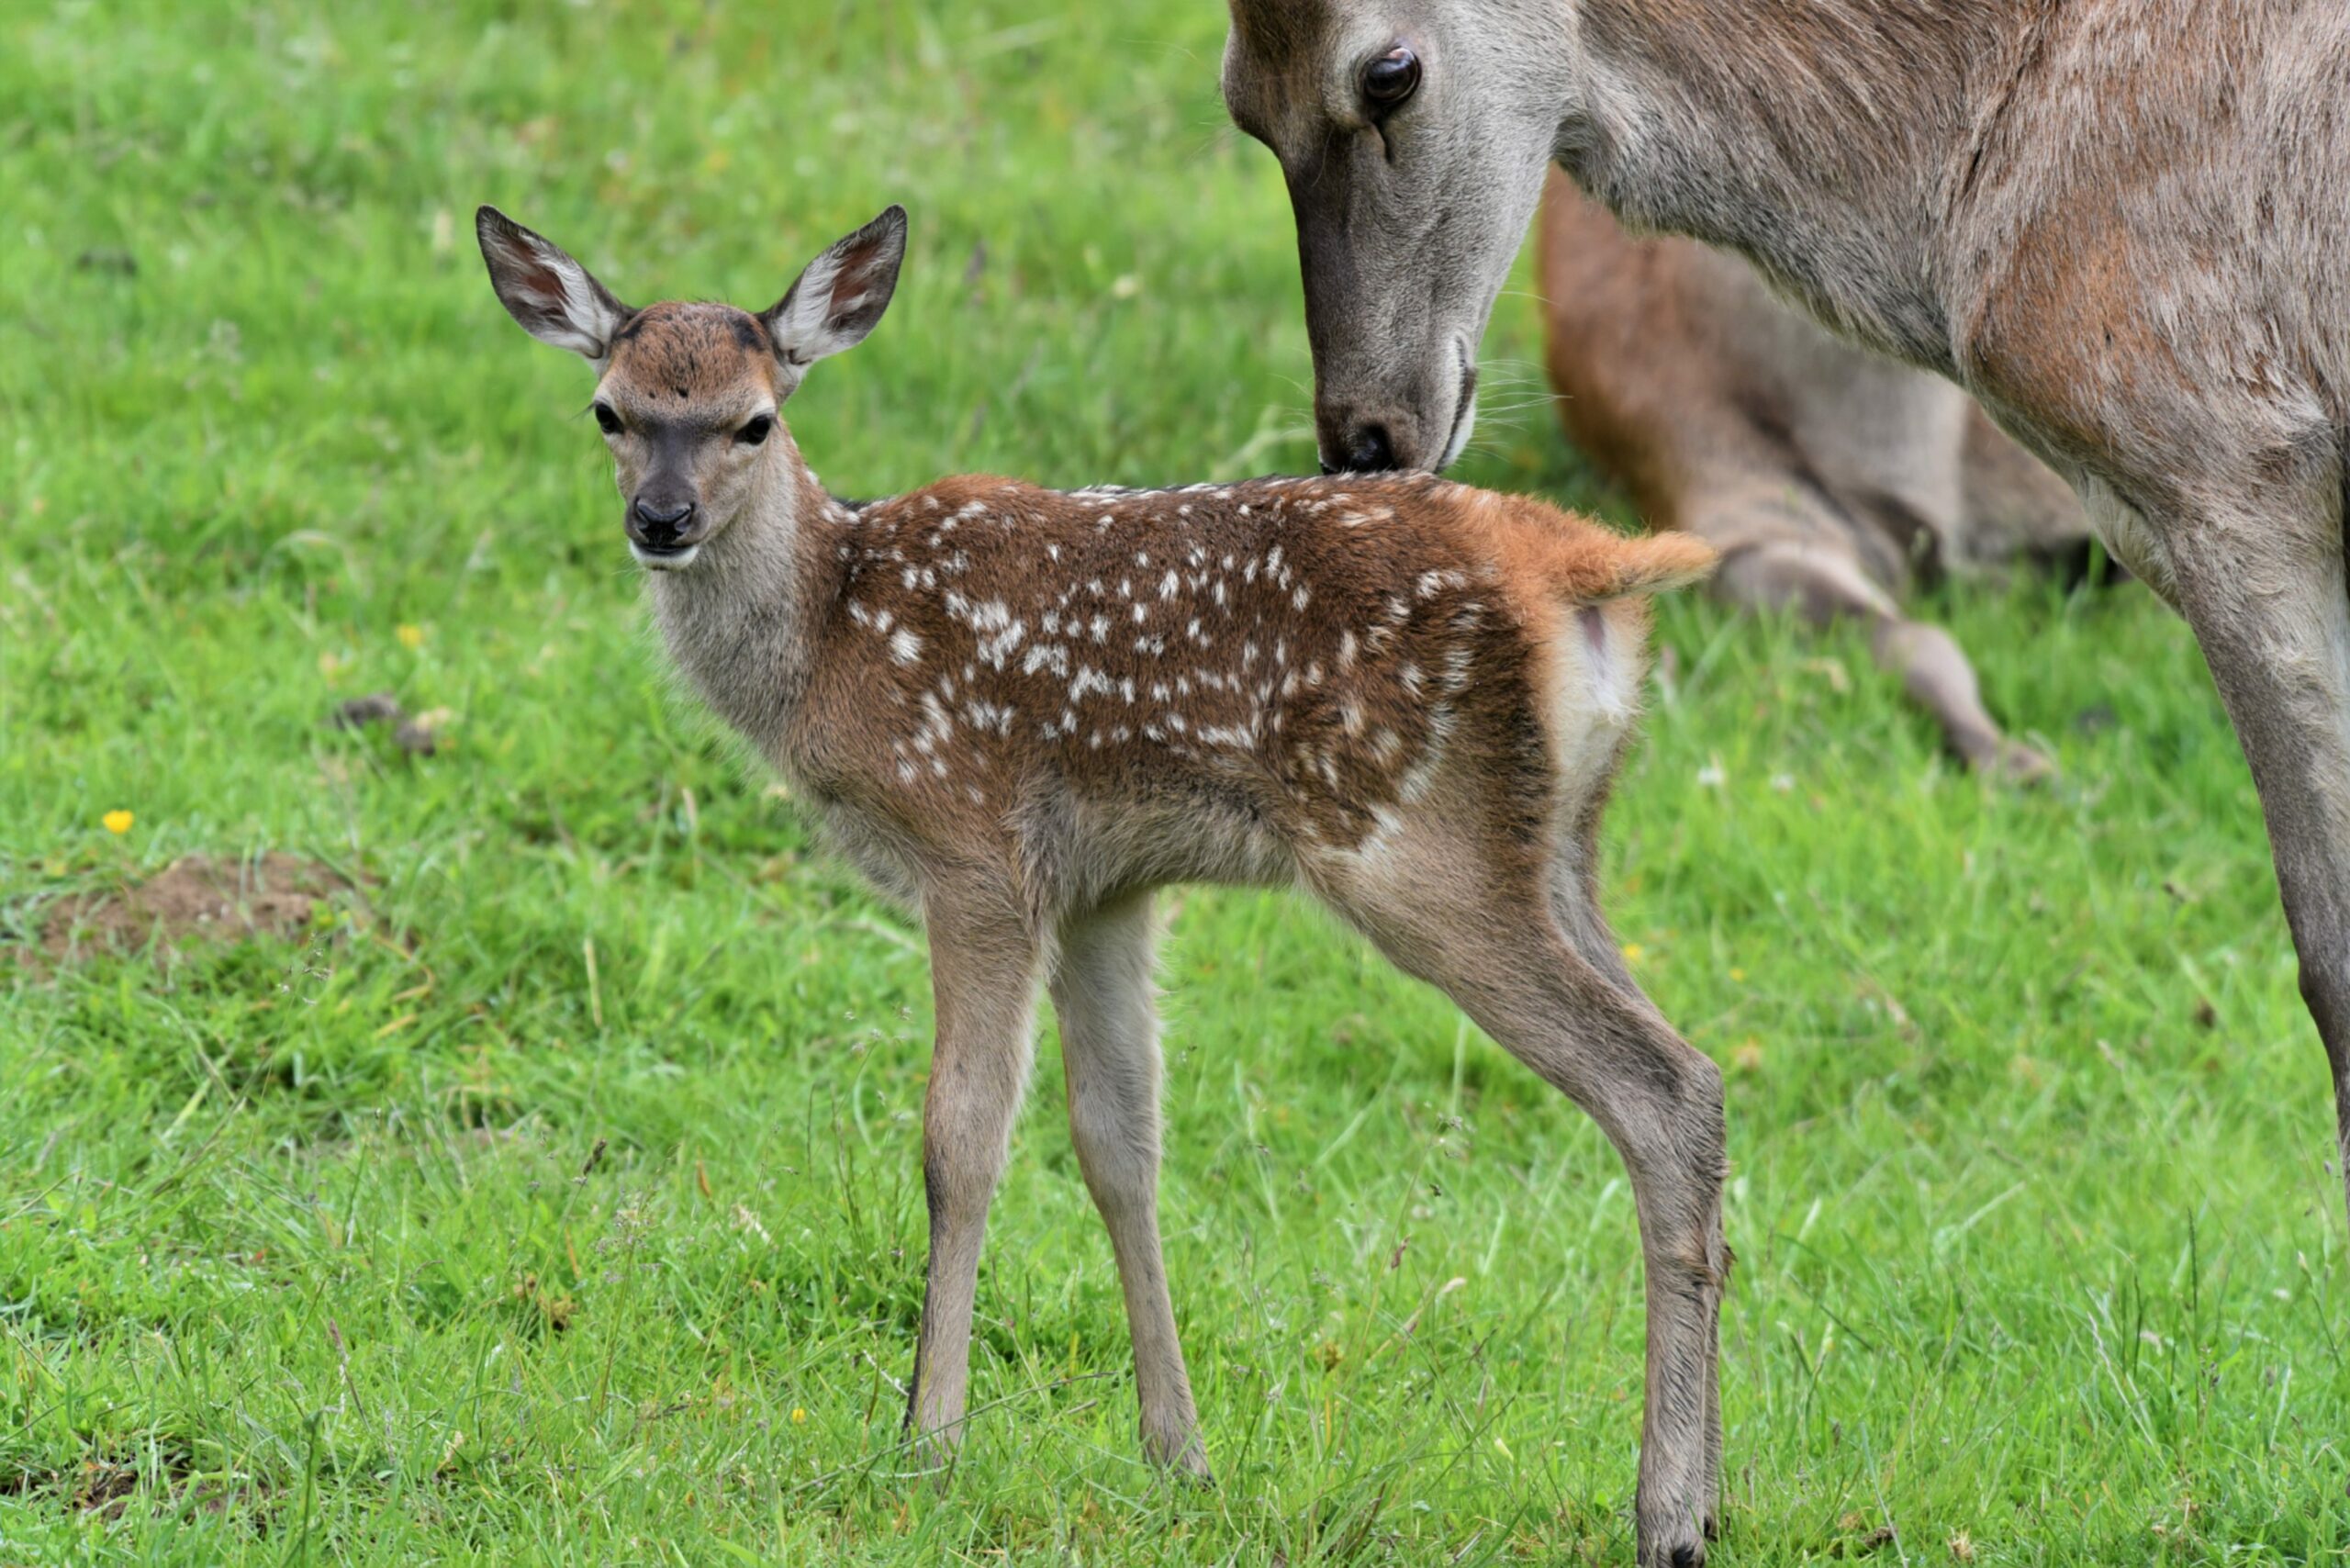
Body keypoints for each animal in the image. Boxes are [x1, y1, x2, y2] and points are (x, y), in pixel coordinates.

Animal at [476, 202, 1729, 1541]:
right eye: (609, 411)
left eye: (754, 420)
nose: (658, 520)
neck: (829, 637)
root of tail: (1584, 568)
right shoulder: (1107, 890)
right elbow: (1121, 1146)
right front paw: (1180, 1454)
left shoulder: (974, 847)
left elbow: (961, 1139)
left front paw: (927, 1442)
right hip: (1558, 852)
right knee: (1696, 1077)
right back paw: (1710, 1497)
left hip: (1417, 846)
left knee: (1665, 1090)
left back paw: (1664, 1513)